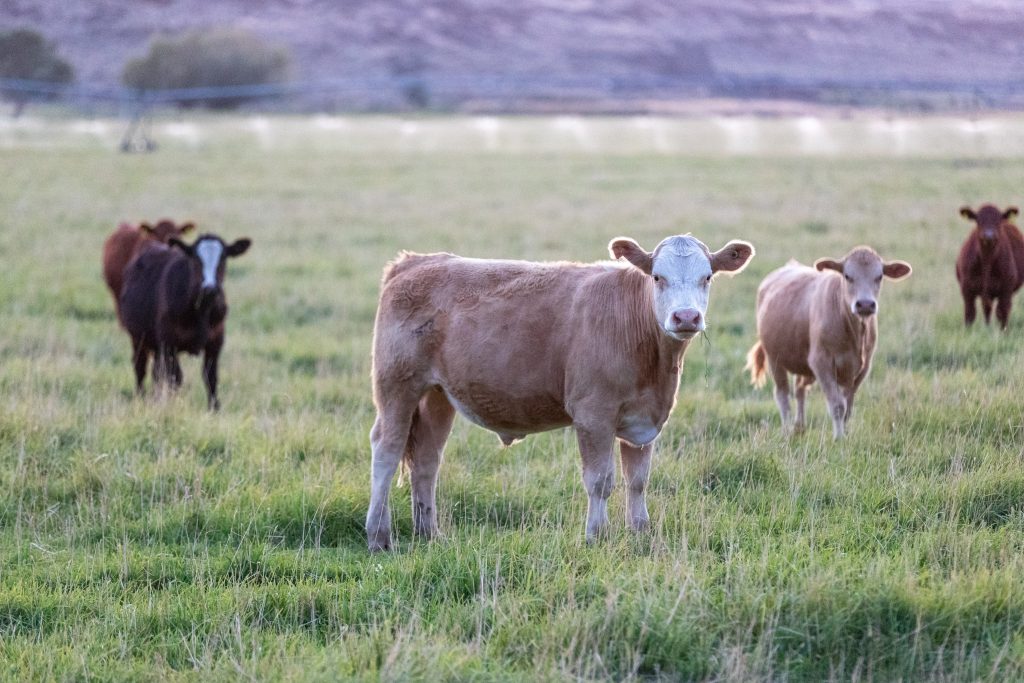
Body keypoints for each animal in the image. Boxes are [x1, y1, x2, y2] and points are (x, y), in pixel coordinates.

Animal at [116, 232, 249, 409]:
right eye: (196, 259)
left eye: (223, 258)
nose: (210, 288)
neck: (202, 310)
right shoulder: (169, 343)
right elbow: (176, 378)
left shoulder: (215, 342)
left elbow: (211, 377)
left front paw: (214, 408)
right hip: (138, 338)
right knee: (140, 368)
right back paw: (141, 398)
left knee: (157, 372)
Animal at [366, 233, 753, 548]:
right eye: (658, 277)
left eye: (707, 277)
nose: (686, 317)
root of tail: (416, 261)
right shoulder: (593, 414)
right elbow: (600, 480)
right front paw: (596, 535)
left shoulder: (644, 420)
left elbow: (638, 480)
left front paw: (640, 532)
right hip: (397, 384)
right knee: (386, 452)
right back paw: (379, 536)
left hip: (437, 395)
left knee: (426, 459)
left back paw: (430, 533)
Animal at [745, 248, 913, 440]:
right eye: (847, 276)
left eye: (879, 276)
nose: (865, 304)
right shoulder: (821, 362)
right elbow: (838, 405)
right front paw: (839, 438)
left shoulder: (862, 368)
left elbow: (848, 407)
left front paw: (845, 434)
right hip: (775, 359)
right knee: (782, 395)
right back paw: (787, 430)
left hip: (802, 362)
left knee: (799, 390)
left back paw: (799, 427)